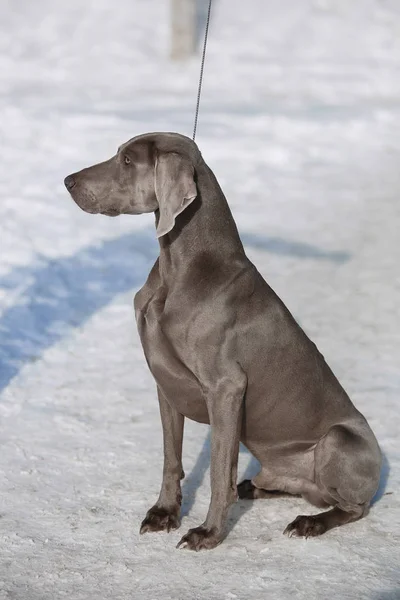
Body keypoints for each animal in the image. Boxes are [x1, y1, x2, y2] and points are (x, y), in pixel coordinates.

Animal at [65, 134, 382, 552]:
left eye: (129, 160)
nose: (67, 181)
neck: (180, 267)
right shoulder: (165, 382)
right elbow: (171, 458)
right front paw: (164, 513)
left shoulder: (226, 387)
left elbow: (218, 472)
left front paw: (207, 533)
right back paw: (256, 488)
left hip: (338, 439)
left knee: (355, 507)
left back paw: (309, 523)